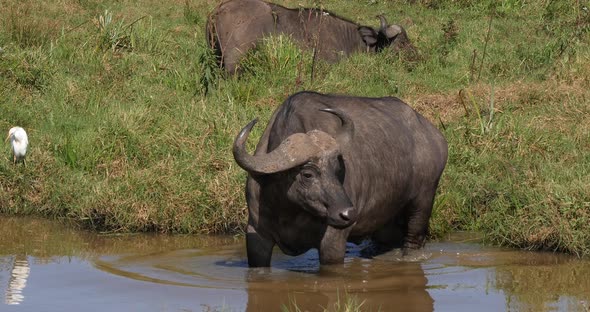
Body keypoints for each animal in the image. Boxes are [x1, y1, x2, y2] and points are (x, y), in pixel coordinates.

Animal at [231, 91, 448, 266]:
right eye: (307, 174)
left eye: (337, 170)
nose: (348, 214)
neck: (290, 211)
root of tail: (435, 136)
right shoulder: (257, 235)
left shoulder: (333, 239)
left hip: (423, 199)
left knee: (413, 238)